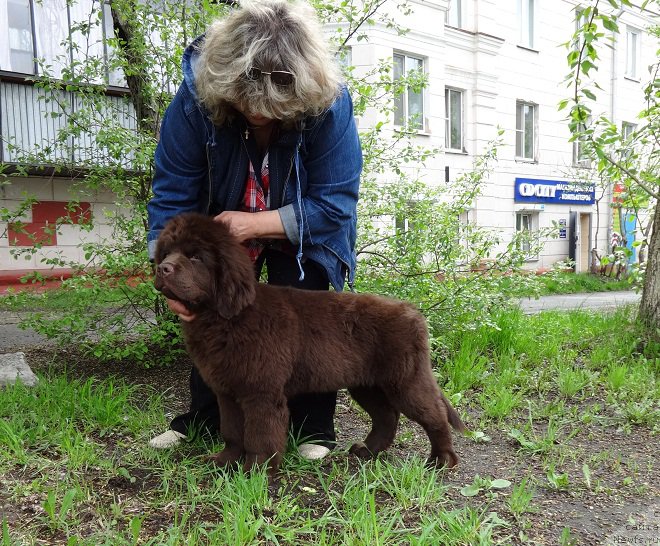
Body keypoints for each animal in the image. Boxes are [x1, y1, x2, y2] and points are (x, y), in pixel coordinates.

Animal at [154, 212, 464, 472]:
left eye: (196, 257)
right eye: (167, 253)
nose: (163, 269)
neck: (225, 318)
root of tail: (413, 312)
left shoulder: (261, 391)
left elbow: (259, 434)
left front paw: (256, 471)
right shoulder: (227, 390)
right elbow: (231, 431)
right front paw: (224, 462)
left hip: (404, 380)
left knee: (434, 415)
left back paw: (441, 460)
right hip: (367, 383)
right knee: (386, 416)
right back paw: (367, 451)